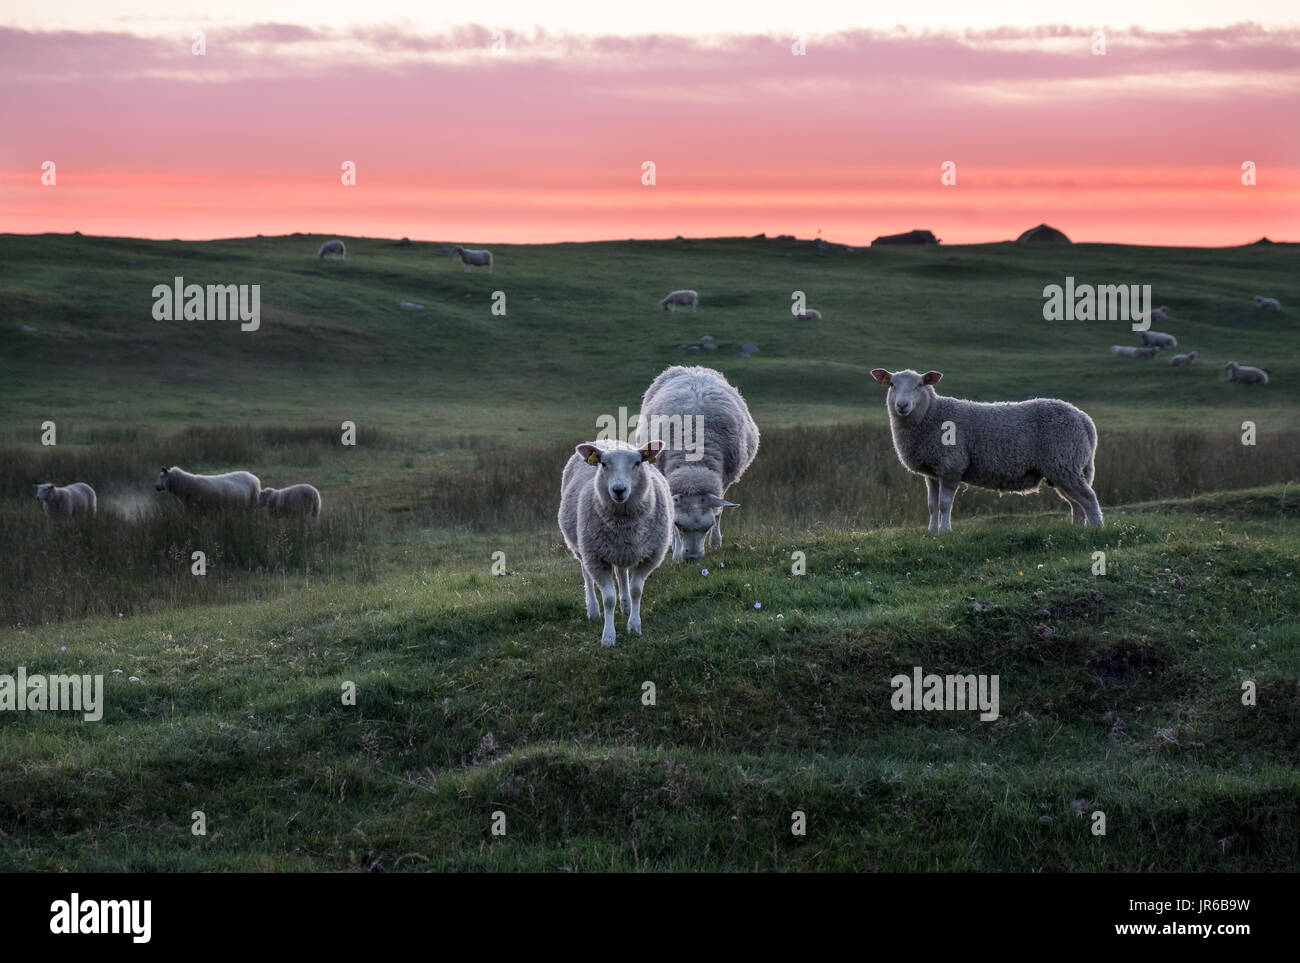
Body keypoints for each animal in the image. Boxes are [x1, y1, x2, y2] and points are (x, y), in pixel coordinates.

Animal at [559, 436, 676, 647]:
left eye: (637, 463)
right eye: (604, 464)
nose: (619, 490)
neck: (624, 522)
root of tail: (607, 440)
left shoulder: (651, 556)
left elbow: (637, 590)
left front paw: (634, 626)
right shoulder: (596, 558)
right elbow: (608, 599)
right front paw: (608, 636)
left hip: (621, 550)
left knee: (622, 573)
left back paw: (626, 605)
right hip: (581, 548)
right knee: (586, 575)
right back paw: (593, 610)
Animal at [631, 363, 759, 558]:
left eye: (708, 526)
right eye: (677, 524)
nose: (692, 558)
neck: (693, 466)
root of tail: (692, 368)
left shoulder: (723, 479)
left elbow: (719, 510)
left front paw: (715, 542)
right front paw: (676, 552)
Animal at [868, 369, 1102, 532]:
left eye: (919, 385)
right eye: (891, 384)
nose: (902, 405)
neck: (931, 415)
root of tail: (1084, 419)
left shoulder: (951, 466)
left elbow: (944, 504)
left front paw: (944, 531)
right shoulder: (932, 472)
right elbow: (932, 505)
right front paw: (931, 532)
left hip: (1064, 462)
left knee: (1088, 498)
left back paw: (1096, 529)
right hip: (1065, 468)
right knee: (1076, 503)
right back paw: (1077, 529)